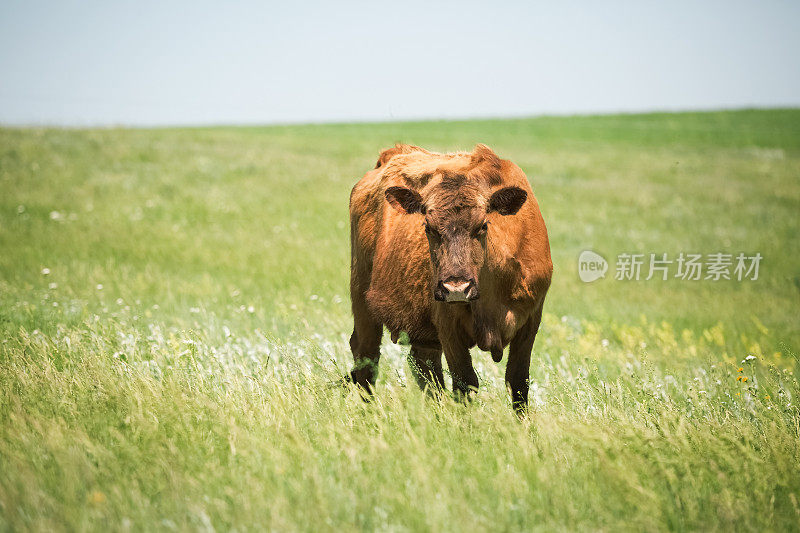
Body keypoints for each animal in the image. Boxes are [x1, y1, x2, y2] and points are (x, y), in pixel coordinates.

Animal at [346, 142, 552, 412]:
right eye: (428, 227)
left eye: (483, 225)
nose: (457, 288)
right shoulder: (449, 327)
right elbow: (465, 383)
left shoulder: (530, 321)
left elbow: (518, 382)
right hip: (362, 302)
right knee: (367, 360)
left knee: (423, 368)